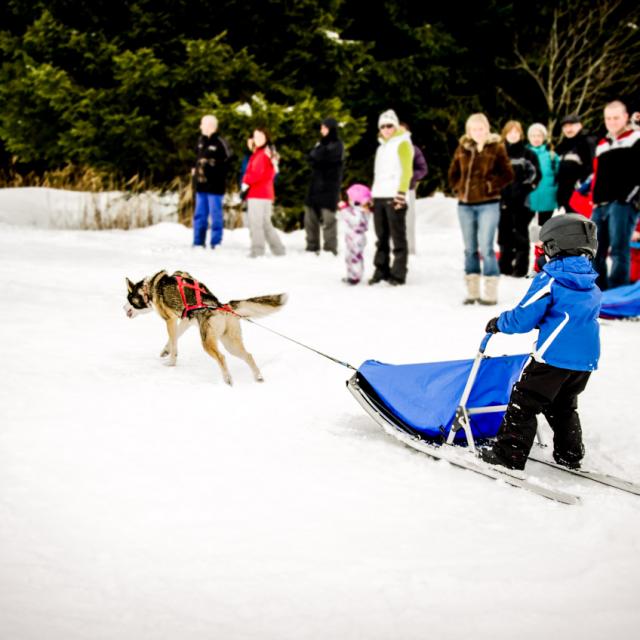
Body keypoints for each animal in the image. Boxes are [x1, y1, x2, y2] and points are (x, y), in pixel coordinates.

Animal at [123, 268, 288, 382]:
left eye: (128, 299)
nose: (123, 308)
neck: (148, 288)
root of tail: (221, 306)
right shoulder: (185, 321)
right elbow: (174, 339)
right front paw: (165, 351)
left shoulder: (170, 320)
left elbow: (174, 343)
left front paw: (171, 362)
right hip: (230, 343)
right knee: (248, 355)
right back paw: (258, 377)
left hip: (208, 342)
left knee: (221, 357)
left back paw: (228, 380)